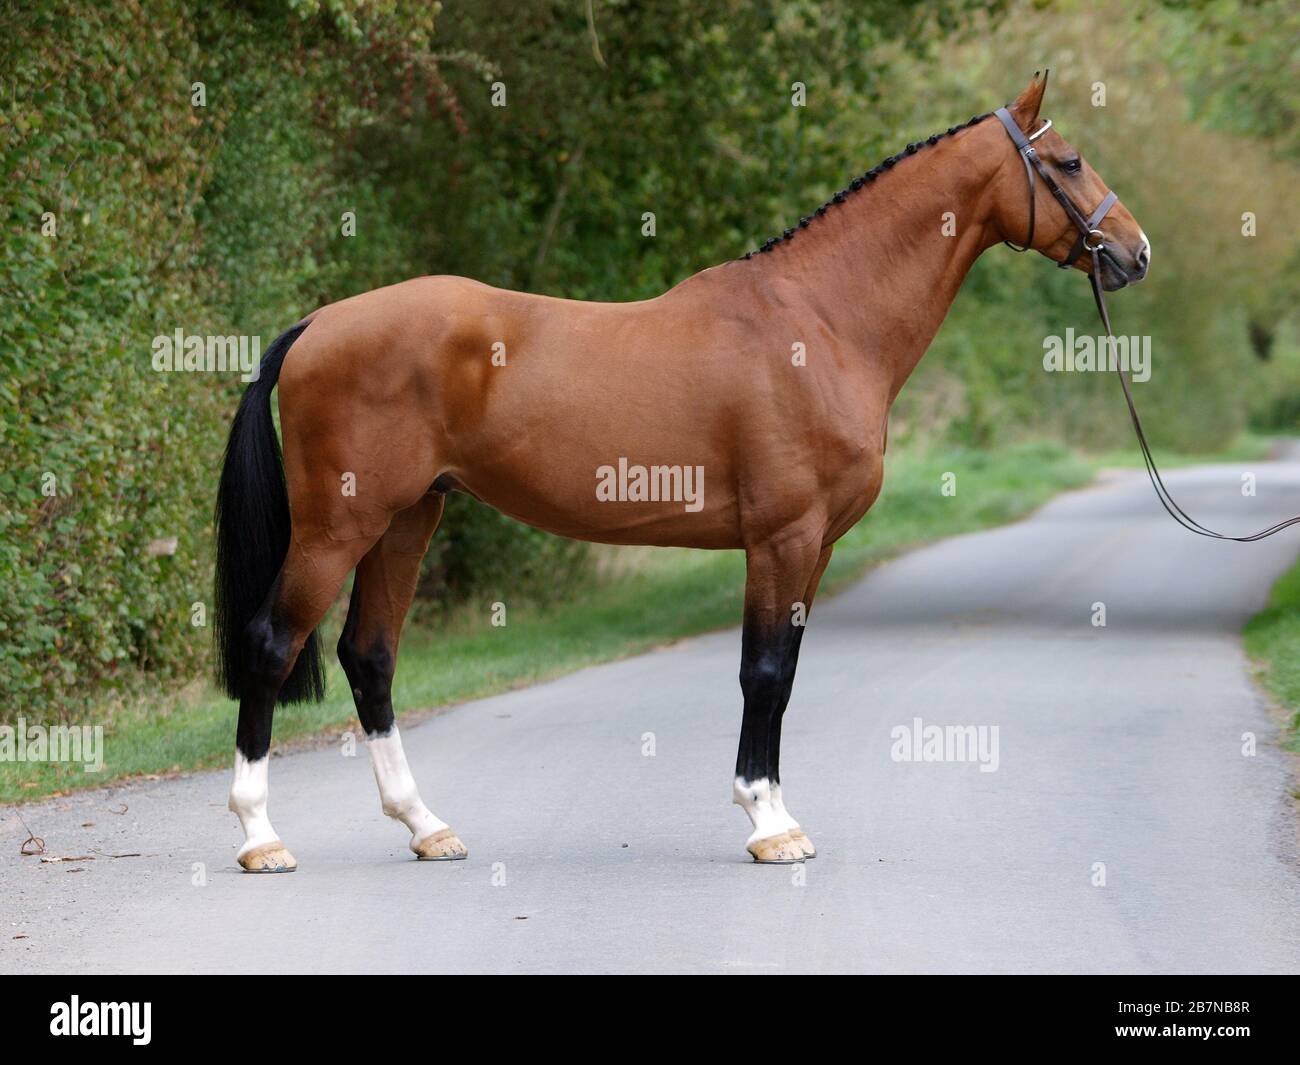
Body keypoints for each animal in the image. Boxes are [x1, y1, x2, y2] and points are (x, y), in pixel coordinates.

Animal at [213, 75, 1149, 873]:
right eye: (1068, 161)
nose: (1134, 254)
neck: (822, 321)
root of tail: (316, 325)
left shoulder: (817, 549)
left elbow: (786, 675)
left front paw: (780, 813)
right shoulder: (781, 538)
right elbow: (761, 671)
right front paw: (768, 825)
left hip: (407, 519)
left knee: (369, 656)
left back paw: (425, 825)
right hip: (339, 527)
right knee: (271, 645)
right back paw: (260, 836)